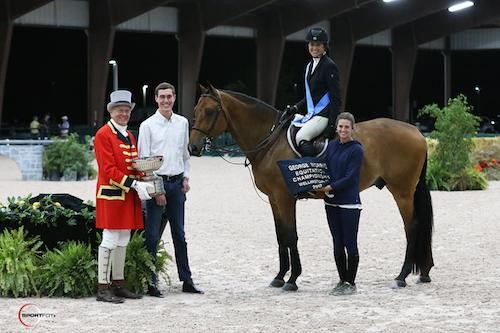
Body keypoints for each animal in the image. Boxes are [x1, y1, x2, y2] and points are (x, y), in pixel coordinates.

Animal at [189, 85, 432, 290]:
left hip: (402, 192)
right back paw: (422, 273)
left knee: (412, 227)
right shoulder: (274, 199)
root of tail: (418, 133)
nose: (193, 147)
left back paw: (401, 277)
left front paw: (292, 279)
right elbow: (281, 235)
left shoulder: (284, 197)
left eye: (209, 111)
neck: (270, 141)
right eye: (195, 110)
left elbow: (291, 235)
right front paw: (279, 277)